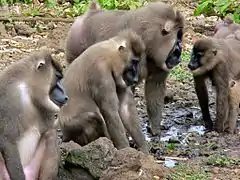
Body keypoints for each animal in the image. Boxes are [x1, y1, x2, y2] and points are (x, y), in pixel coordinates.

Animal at [0, 50, 68, 180]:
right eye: (57, 78)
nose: (65, 95)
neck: (28, 86)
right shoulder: (11, 96)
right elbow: (7, 139)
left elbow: (48, 129)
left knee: (50, 135)